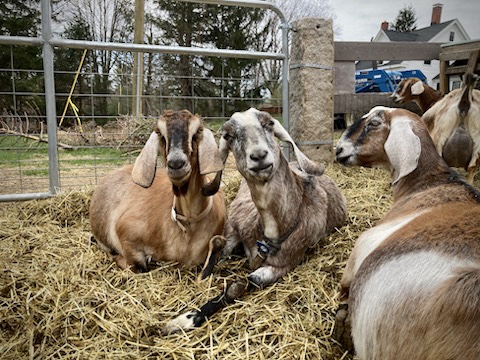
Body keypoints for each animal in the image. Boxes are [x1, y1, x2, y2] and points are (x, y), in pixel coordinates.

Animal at [90, 109, 229, 278]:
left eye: (197, 131)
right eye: (160, 133)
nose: (176, 164)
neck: (188, 224)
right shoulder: (126, 232)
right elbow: (137, 265)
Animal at [163, 107, 346, 334]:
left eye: (268, 124)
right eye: (229, 136)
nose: (259, 156)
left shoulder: (284, 264)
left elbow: (242, 283)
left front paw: (185, 319)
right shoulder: (232, 229)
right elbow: (218, 248)